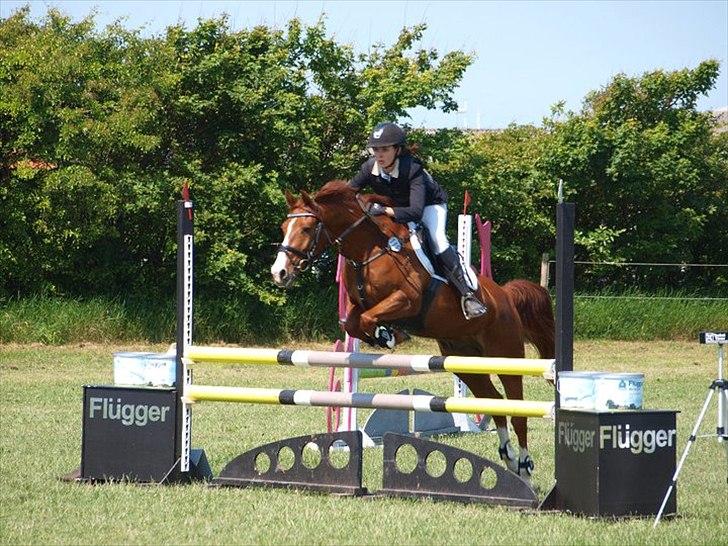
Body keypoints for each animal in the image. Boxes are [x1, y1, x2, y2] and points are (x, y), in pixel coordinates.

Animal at [270, 180, 555, 482]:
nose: (279, 273)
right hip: (466, 362)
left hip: (505, 354)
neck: (368, 249)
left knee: (517, 410)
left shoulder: (407, 299)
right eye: (283, 227)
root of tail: (506, 296)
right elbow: (353, 324)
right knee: (494, 402)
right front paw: (386, 334)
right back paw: (509, 458)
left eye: (306, 228)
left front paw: (388, 336)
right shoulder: (357, 306)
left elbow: (369, 318)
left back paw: (524, 466)